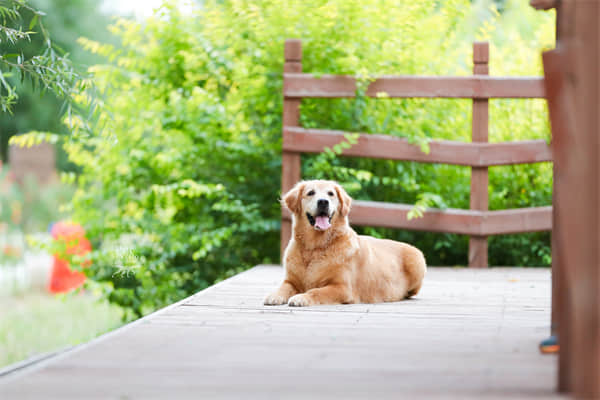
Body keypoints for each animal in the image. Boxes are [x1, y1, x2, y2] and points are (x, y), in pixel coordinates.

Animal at [264, 180, 426, 308]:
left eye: (331, 194)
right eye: (310, 193)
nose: (323, 201)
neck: (315, 247)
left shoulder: (342, 287)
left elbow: (316, 291)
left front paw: (302, 297)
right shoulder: (291, 280)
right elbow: (283, 287)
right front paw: (274, 295)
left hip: (417, 259)